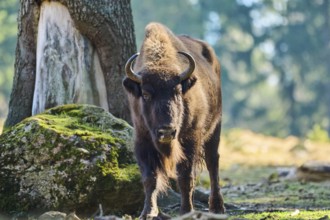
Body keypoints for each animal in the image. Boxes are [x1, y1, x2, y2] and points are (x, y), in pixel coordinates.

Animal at [122, 22, 226, 218]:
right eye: (145, 94)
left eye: (177, 91)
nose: (167, 131)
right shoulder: (142, 139)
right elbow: (150, 178)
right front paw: (147, 212)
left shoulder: (190, 138)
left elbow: (185, 175)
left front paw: (186, 211)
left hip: (216, 126)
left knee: (212, 162)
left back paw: (217, 206)